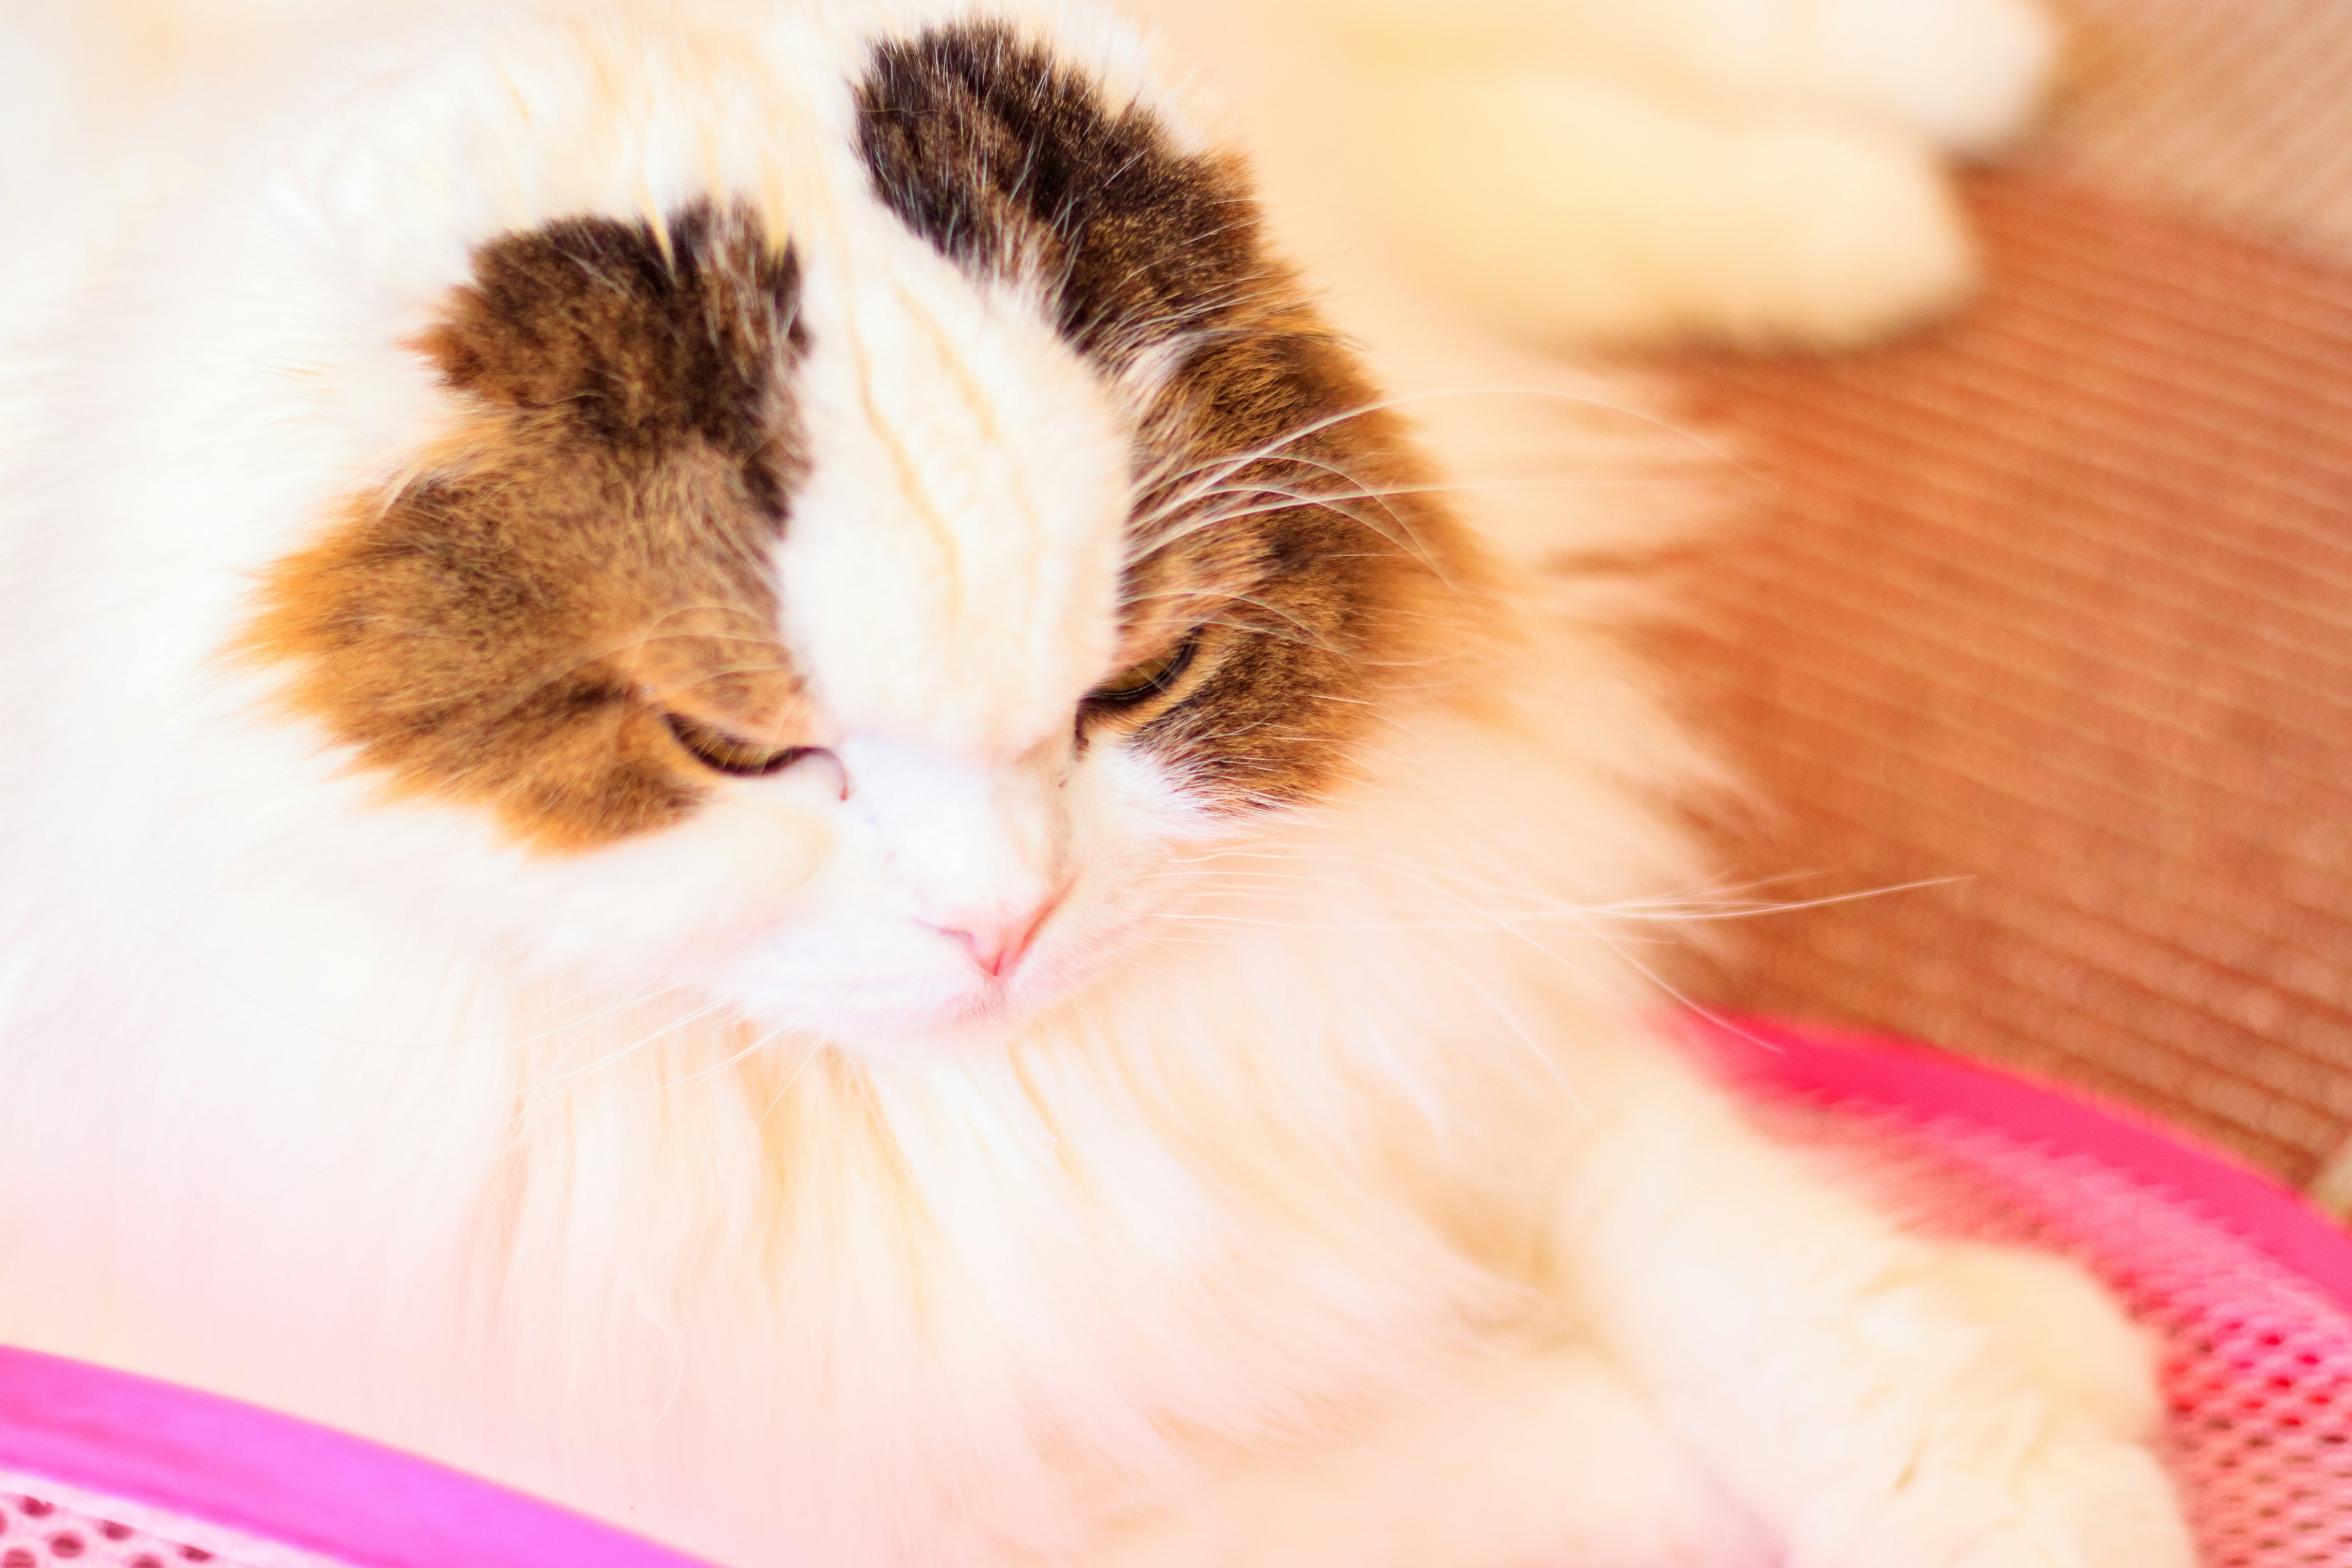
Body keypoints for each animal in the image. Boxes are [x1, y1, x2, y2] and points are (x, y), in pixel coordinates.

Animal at [0, 3, 2182, 1568]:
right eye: (738, 749)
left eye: (1138, 687)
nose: (1005, 928)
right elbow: (1545, 1427)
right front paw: (2066, 1344)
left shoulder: (1411, 977)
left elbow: (1770, 1267)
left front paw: (2035, 1423)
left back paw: (1917, 130)